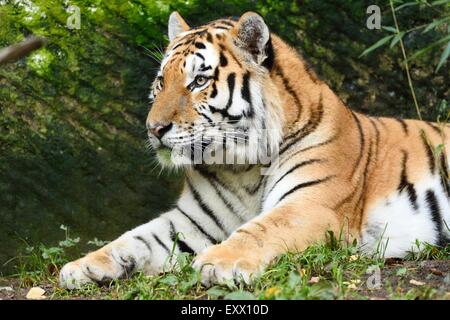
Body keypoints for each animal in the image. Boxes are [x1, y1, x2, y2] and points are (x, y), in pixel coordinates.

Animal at [59, 11, 450, 288]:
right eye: (161, 82)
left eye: (198, 81)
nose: (153, 129)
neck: (240, 167)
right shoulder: (193, 221)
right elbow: (135, 237)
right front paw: (82, 265)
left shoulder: (311, 204)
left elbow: (261, 229)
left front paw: (217, 263)